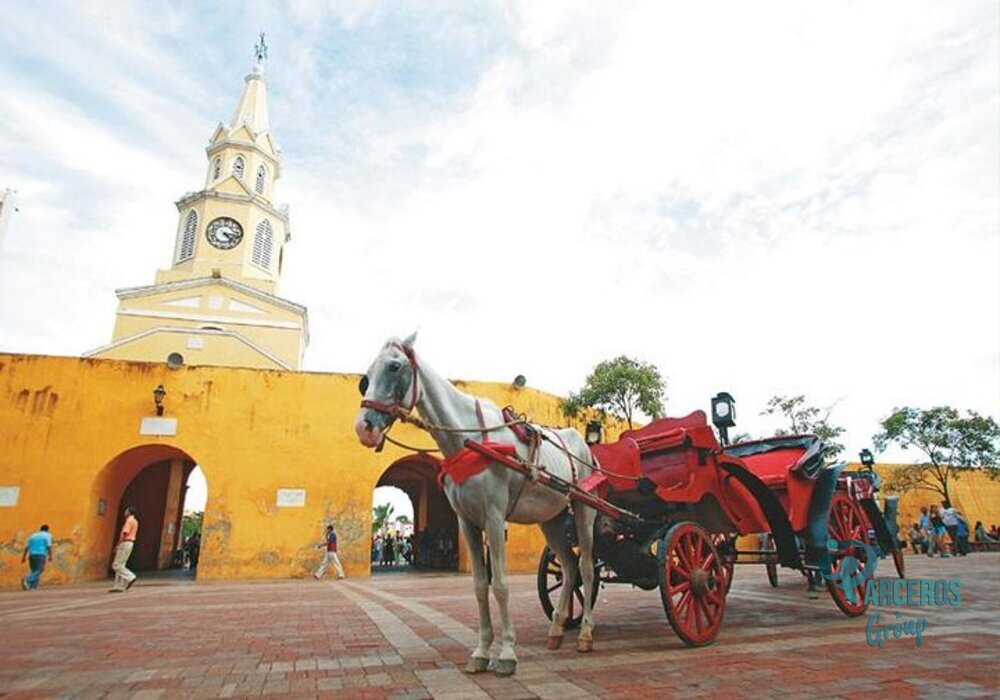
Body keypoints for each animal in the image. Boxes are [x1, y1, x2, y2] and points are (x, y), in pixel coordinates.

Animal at [356, 334, 596, 680]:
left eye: (394, 366)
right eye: (366, 377)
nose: (365, 427)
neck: (469, 441)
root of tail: (587, 449)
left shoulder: (494, 518)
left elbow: (501, 585)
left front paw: (507, 653)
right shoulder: (466, 521)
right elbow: (481, 586)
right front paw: (481, 652)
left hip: (584, 510)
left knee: (587, 568)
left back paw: (586, 634)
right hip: (551, 517)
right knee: (568, 566)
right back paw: (556, 631)